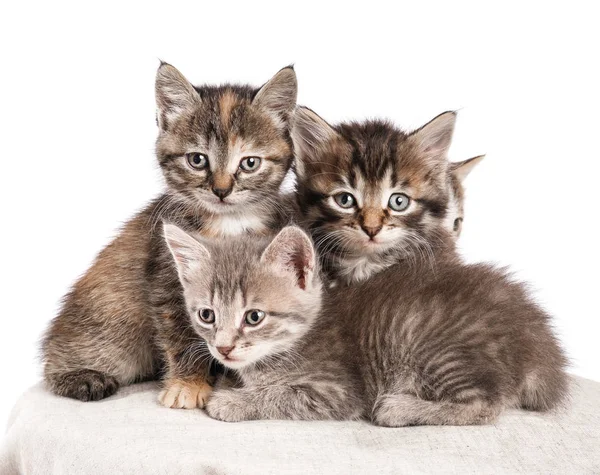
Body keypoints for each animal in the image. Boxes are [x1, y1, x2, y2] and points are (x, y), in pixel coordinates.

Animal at [39, 62, 298, 410]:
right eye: (197, 159)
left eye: (249, 163)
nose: (221, 190)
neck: (228, 223)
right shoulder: (168, 280)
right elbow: (182, 335)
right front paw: (188, 384)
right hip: (108, 323)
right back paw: (82, 376)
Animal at [163, 225, 568, 426]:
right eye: (207, 315)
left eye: (254, 317)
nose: (223, 348)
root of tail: (539, 343)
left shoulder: (338, 390)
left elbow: (282, 395)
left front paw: (234, 402)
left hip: (434, 346)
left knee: (484, 405)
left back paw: (399, 409)